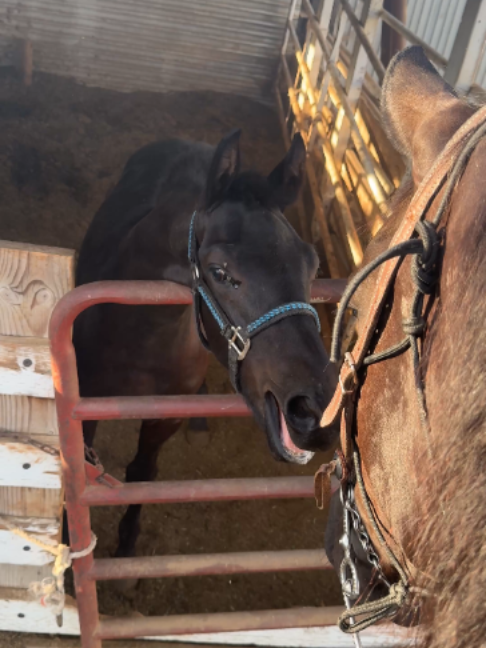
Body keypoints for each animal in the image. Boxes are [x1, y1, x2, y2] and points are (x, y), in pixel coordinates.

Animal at [73, 130, 339, 560]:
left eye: (311, 264)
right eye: (220, 272)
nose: (315, 410)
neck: (140, 338)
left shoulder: (165, 417)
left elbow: (143, 474)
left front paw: (126, 548)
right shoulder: (85, 409)